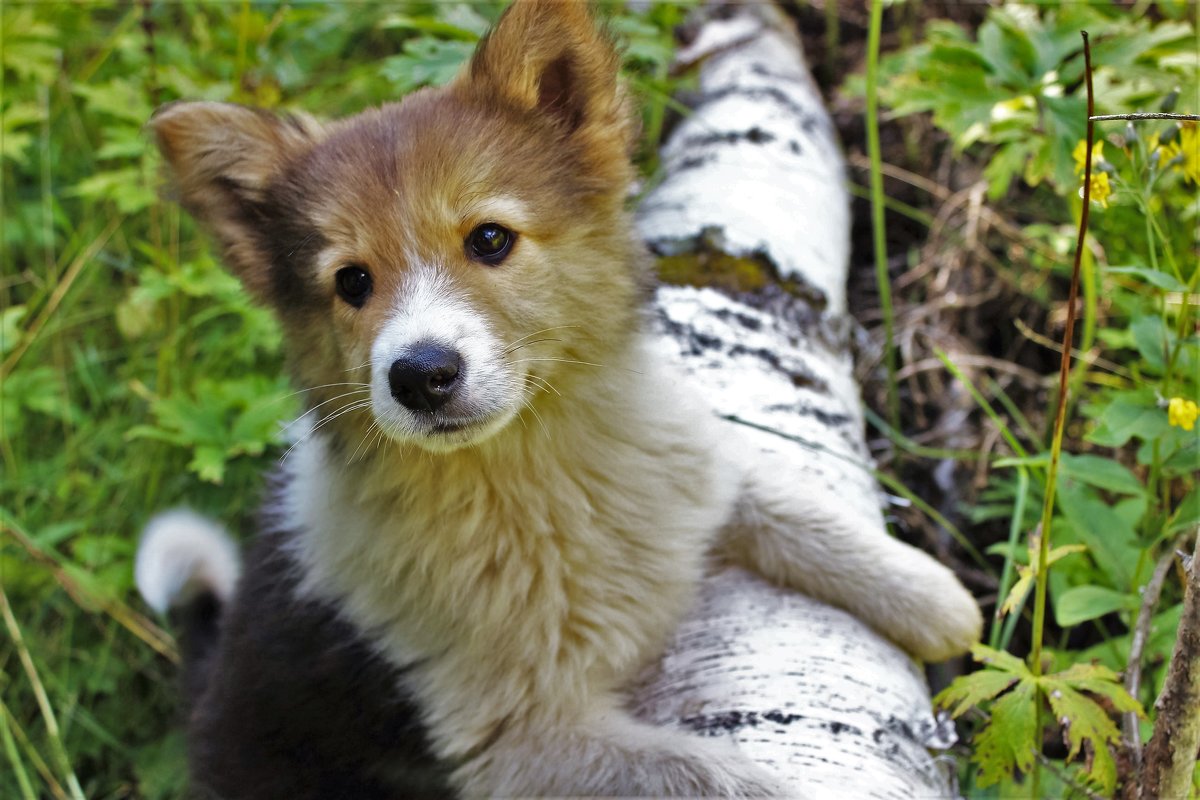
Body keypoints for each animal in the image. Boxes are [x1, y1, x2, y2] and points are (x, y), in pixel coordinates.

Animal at [138, 3, 984, 796]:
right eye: (351, 282)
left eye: (489, 239)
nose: (419, 375)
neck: (535, 471)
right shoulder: (518, 740)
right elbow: (705, 772)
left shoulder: (685, 464)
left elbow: (787, 503)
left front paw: (933, 597)